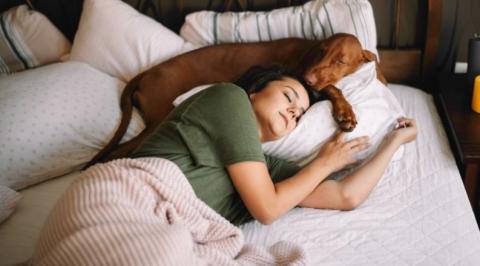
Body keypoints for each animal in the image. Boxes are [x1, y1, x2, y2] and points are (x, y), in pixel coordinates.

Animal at [86, 33, 386, 166]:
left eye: (340, 60)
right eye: (321, 51)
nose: (308, 77)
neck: (307, 51)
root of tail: (147, 72)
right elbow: (334, 89)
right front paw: (345, 112)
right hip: (158, 120)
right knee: (119, 152)